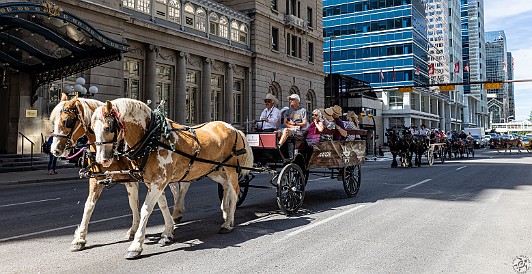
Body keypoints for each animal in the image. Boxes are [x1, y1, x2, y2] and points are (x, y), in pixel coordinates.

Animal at [48, 93, 189, 250]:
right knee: (176, 187)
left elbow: (146, 203)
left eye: (67, 121)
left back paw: (177, 211)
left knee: (180, 186)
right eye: (52, 121)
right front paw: (80, 238)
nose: (54, 150)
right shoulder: (98, 179)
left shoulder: (138, 178)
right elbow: (90, 205)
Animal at [91, 98, 254, 260]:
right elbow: (163, 206)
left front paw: (136, 246)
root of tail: (233, 128)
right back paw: (225, 211)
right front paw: (168, 233)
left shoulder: (159, 181)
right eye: (92, 129)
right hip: (213, 169)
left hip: (231, 168)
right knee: (225, 185)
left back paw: (228, 222)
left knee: (235, 190)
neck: (152, 138)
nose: (101, 160)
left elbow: (146, 209)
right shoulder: (154, 182)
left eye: (108, 127)